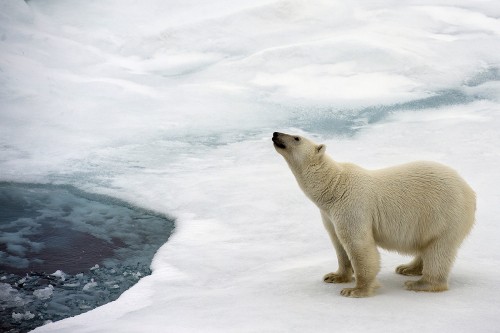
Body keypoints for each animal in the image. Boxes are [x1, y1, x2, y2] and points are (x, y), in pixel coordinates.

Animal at [272, 131, 474, 296]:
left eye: (296, 138)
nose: (275, 134)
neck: (334, 187)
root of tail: (469, 191)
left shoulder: (352, 206)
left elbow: (358, 244)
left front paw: (355, 290)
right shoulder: (329, 214)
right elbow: (338, 243)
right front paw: (335, 276)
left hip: (444, 214)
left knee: (438, 249)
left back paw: (420, 283)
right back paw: (407, 268)